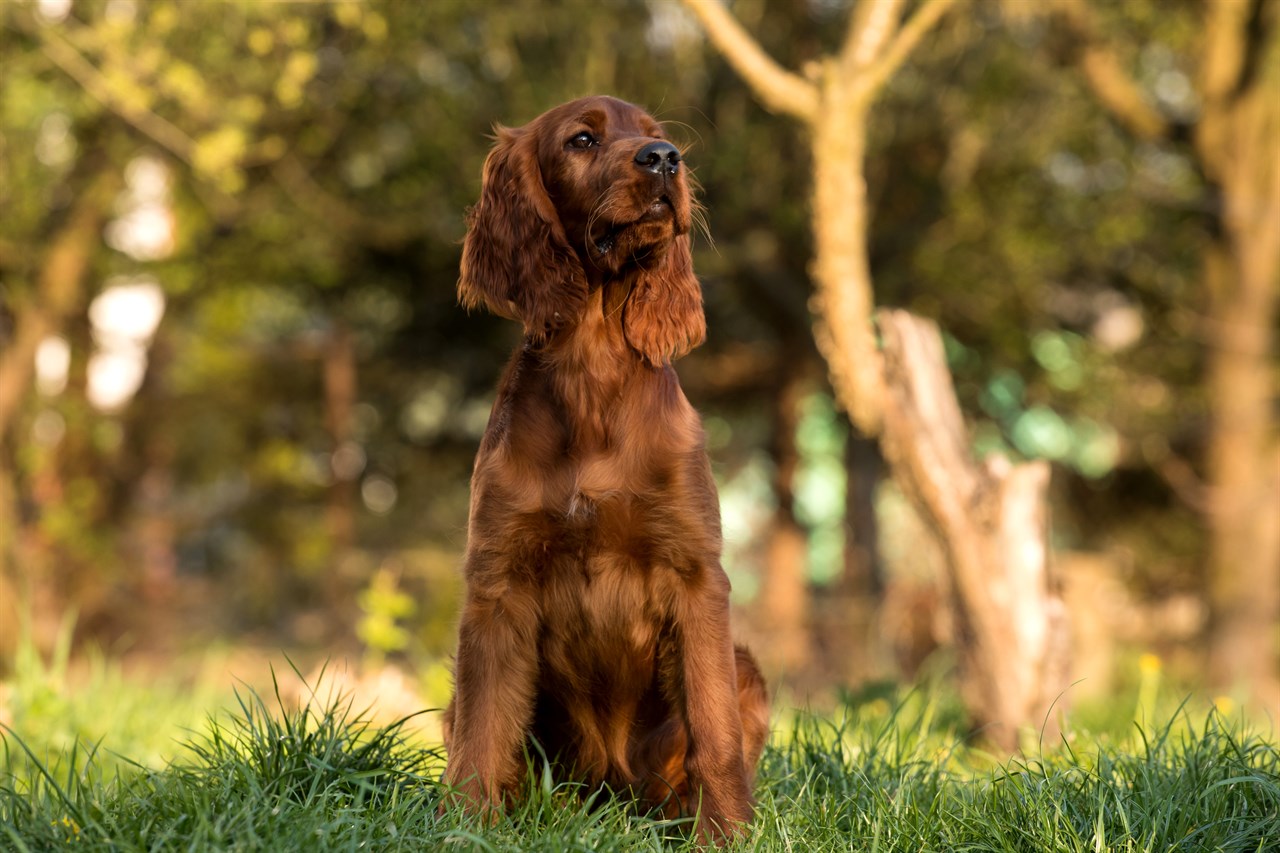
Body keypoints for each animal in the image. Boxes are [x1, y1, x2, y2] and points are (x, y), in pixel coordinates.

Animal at [440, 96, 762, 840]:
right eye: (582, 140)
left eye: (655, 134)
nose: (666, 158)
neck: (594, 370)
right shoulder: (497, 583)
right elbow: (481, 731)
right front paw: (464, 826)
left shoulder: (696, 575)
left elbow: (715, 731)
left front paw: (726, 835)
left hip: (745, 665)